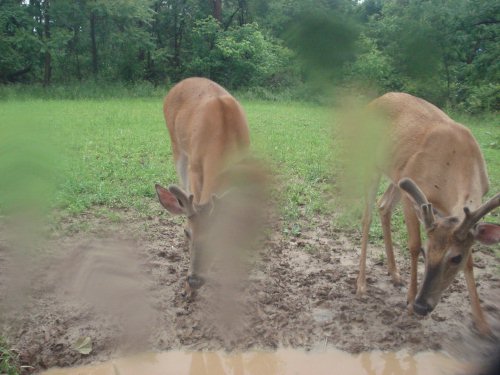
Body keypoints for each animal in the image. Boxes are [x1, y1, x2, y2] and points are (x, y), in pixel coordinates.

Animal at [154, 78, 252, 296]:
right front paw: (186, 290)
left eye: (217, 236)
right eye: (187, 232)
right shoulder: (195, 166)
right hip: (176, 145)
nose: (194, 280)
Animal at [356, 92, 500, 336]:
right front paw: (410, 301)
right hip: (372, 163)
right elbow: (413, 244)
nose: (422, 306)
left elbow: (471, 261)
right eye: (426, 251)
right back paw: (361, 285)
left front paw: (482, 323)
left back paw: (395, 274)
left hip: (396, 173)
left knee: (383, 205)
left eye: (456, 258)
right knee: (367, 215)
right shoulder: (413, 192)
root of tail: (376, 100)